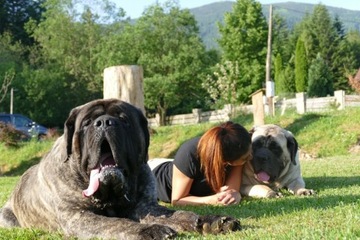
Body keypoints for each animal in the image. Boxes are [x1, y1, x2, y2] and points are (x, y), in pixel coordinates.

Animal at [0, 98, 242, 239]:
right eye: (87, 123)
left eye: (124, 120)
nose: (105, 122)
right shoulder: (77, 216)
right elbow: (115, 224)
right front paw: (148, 230)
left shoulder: (146, 207)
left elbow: (181, 214)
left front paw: (213, 220)